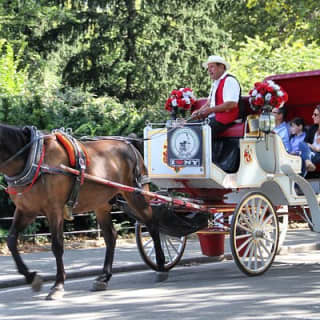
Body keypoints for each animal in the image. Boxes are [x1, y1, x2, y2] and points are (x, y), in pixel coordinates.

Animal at [1, 124, 168, 298]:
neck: (33, 158)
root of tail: (129, 143)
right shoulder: (26, 210)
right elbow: (11, 241)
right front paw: (31, 277)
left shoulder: (54, 210)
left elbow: (57, 245)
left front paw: (58, 284)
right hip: (101, 204)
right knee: (111, 236)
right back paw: (104, 277)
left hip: (137, 195)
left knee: (152, 225)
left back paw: (161, 266)